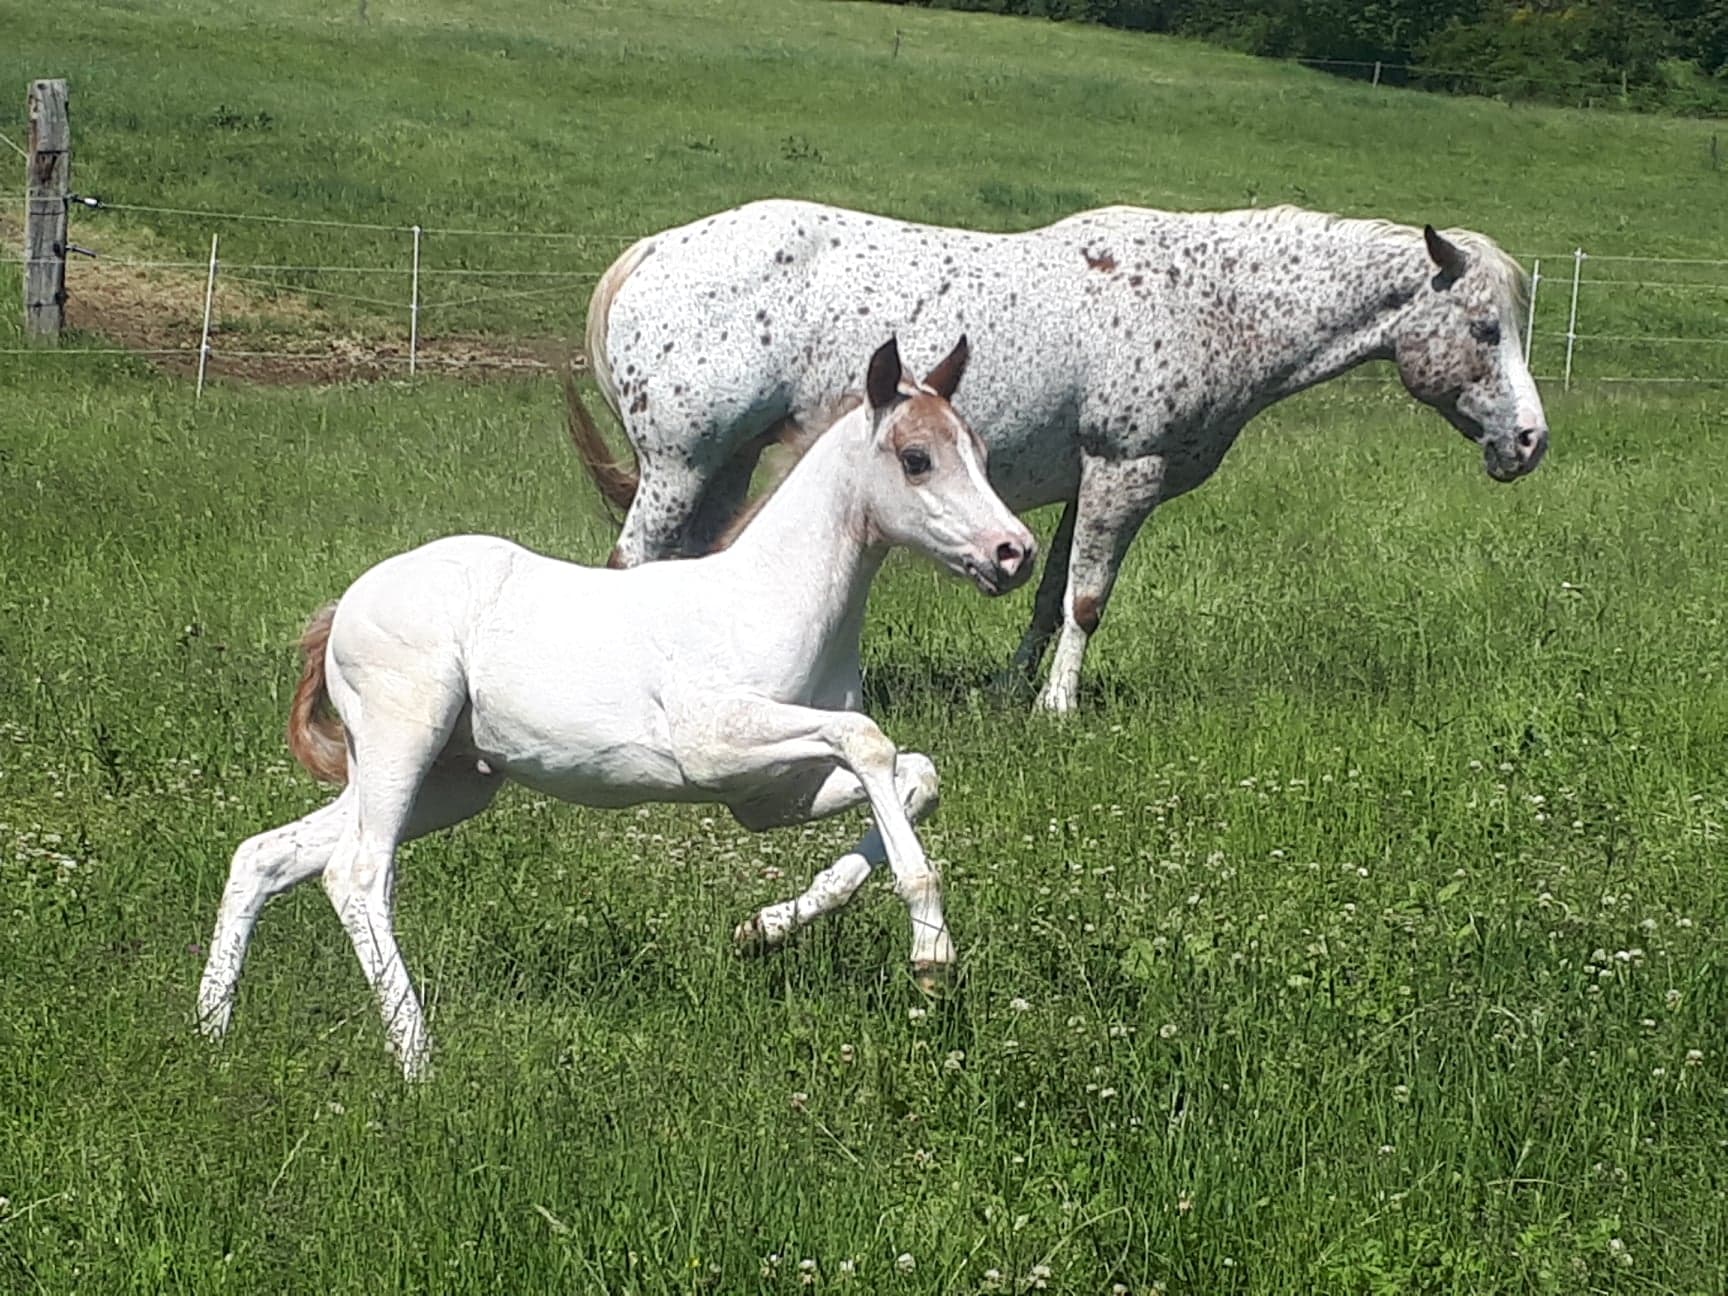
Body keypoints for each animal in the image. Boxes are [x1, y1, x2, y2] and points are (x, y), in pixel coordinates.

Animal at [202, 335, 1036, 1078]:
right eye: (916, 458)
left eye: (980, 452)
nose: (1014, 553)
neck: (768, 599)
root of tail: (343, 606)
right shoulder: (714, 743)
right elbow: (871, 743)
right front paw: (932, 954)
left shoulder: (769, 797)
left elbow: (915, 776)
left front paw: (760, 929)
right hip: (403, 739)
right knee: (357, 872)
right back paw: (417, 1060)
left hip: (451, 780)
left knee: (266, 856)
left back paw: (211, 1032)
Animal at [577, 200, 1555, 722]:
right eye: (1484, 328)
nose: (1529, 442)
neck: (1210, 302)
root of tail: (654, 252)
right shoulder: (1128, 472)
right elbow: (1088, 598)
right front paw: (1059, 709)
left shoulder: (1087, 487)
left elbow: (1050, 598)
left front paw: (1012, 693)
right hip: (681, 467)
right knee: (630, 563)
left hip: (727, 468)